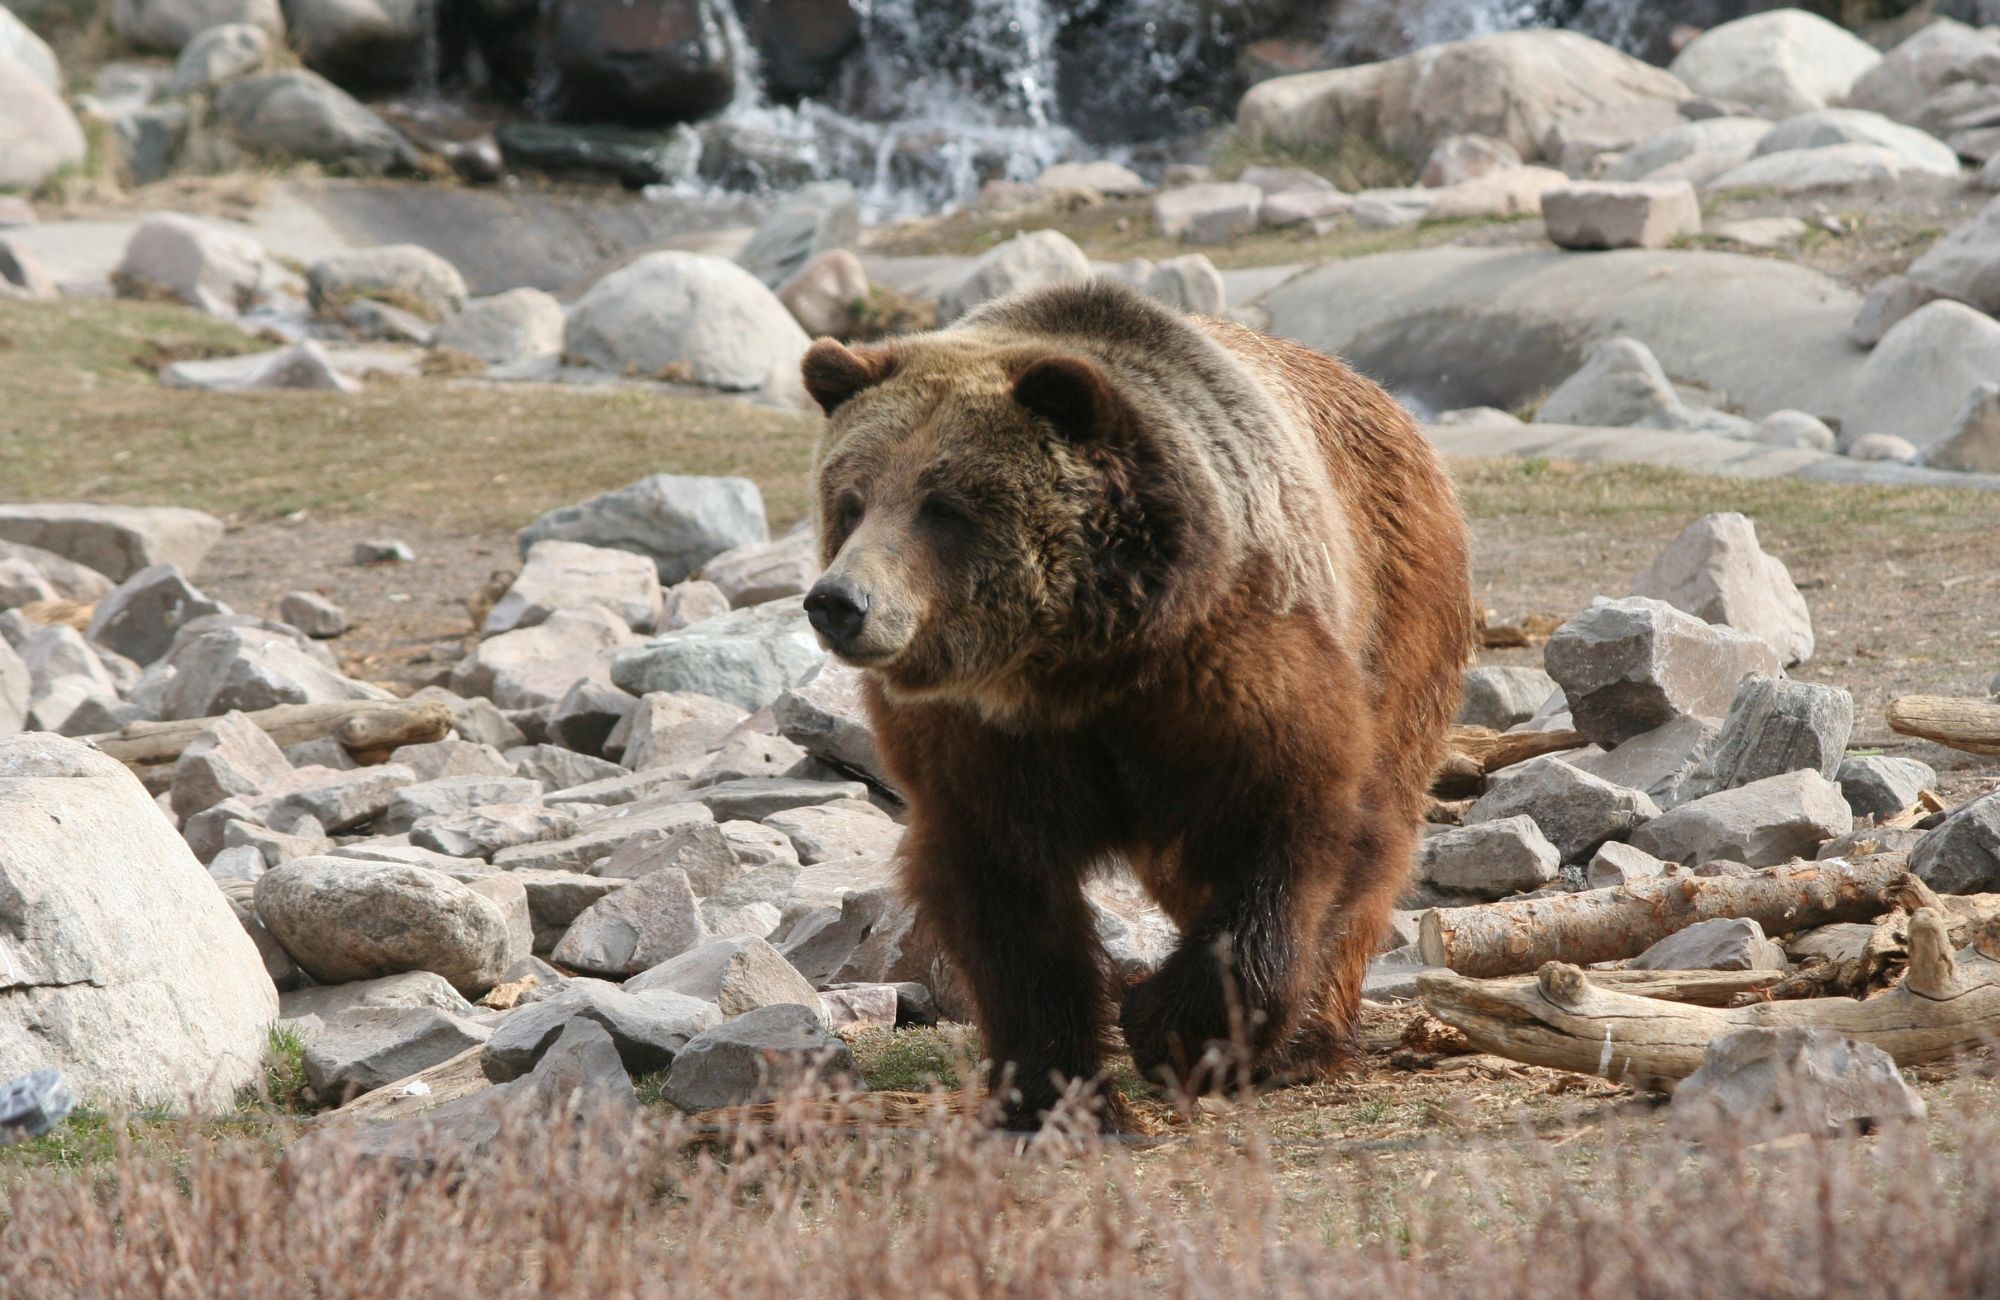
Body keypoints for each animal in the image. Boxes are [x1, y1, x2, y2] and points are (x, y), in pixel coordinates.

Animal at [798, 280, 1474, 1129]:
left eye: (943, 505)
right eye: (851, 501)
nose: (838, 601)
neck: (1077, 666)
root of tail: (1384, 400)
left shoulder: (1228, 668)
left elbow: (1295, 826)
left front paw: (1174, 1030)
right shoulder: (980, 741)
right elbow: (1005, 897)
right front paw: (1057, 1093)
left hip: (1396, 603)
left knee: (1376, 827)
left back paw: (1309, 1039)